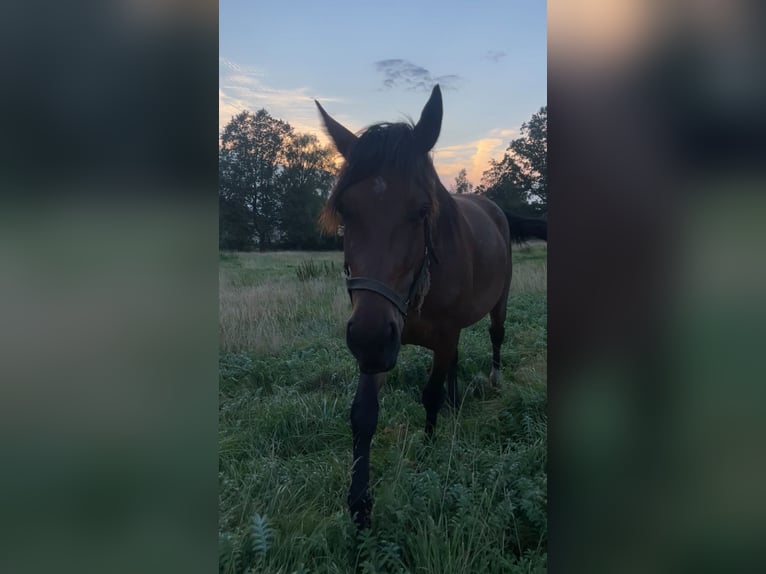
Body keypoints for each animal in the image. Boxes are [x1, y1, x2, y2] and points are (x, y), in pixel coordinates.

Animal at [316, 85, 548, 532]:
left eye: (422, 211)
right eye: (345, 211)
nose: (368, 338)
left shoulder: (437, 334)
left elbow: (430, 394)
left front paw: (428, 447)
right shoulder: (383, 340)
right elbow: (364, 414)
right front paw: (359, 505)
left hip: (499, 302)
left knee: (495, 337)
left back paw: (492, 379)